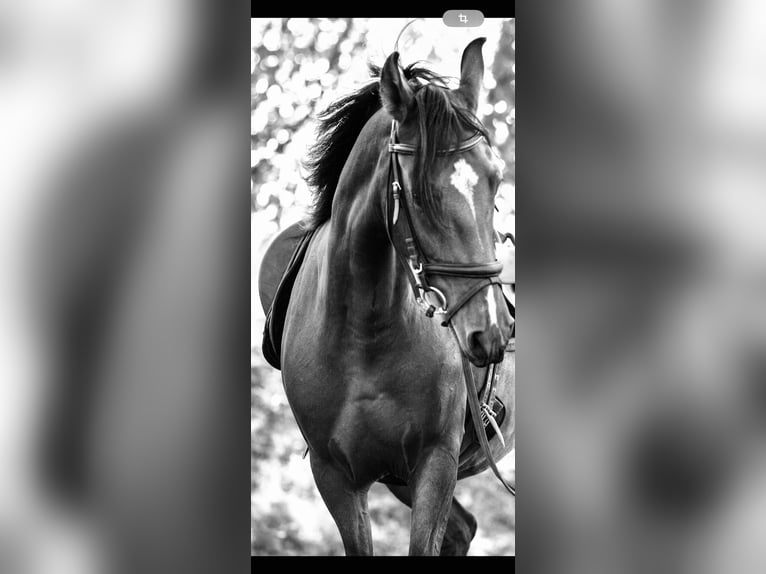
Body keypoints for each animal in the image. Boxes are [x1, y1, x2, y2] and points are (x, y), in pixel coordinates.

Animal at [262, 38, 515, 556]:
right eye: (419, 195)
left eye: (495, 179)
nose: (491, 332)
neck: (365, 331)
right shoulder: (336, 477)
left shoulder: (435, 463)